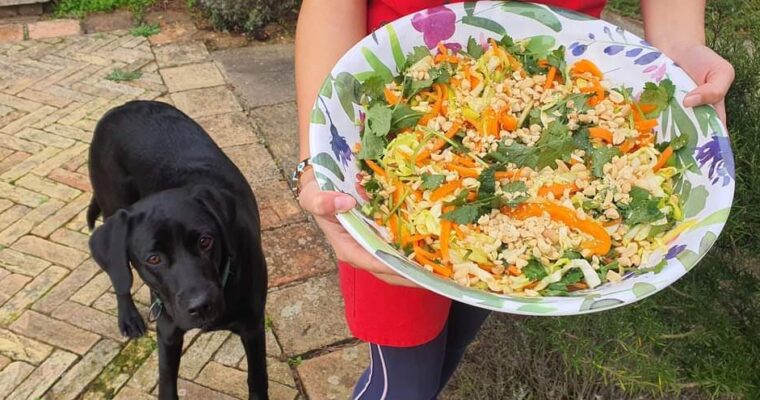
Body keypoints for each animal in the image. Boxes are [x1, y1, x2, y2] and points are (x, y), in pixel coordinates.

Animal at [88, 98, 270, 398]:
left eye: (206, 241)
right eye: (153, 259)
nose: (201, 306)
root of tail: (120, 107)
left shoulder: (253, 327)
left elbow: (257, 381)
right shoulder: (168, 332)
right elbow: (166, 383)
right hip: (112, 204)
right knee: (120, 278)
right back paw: (128, 318)